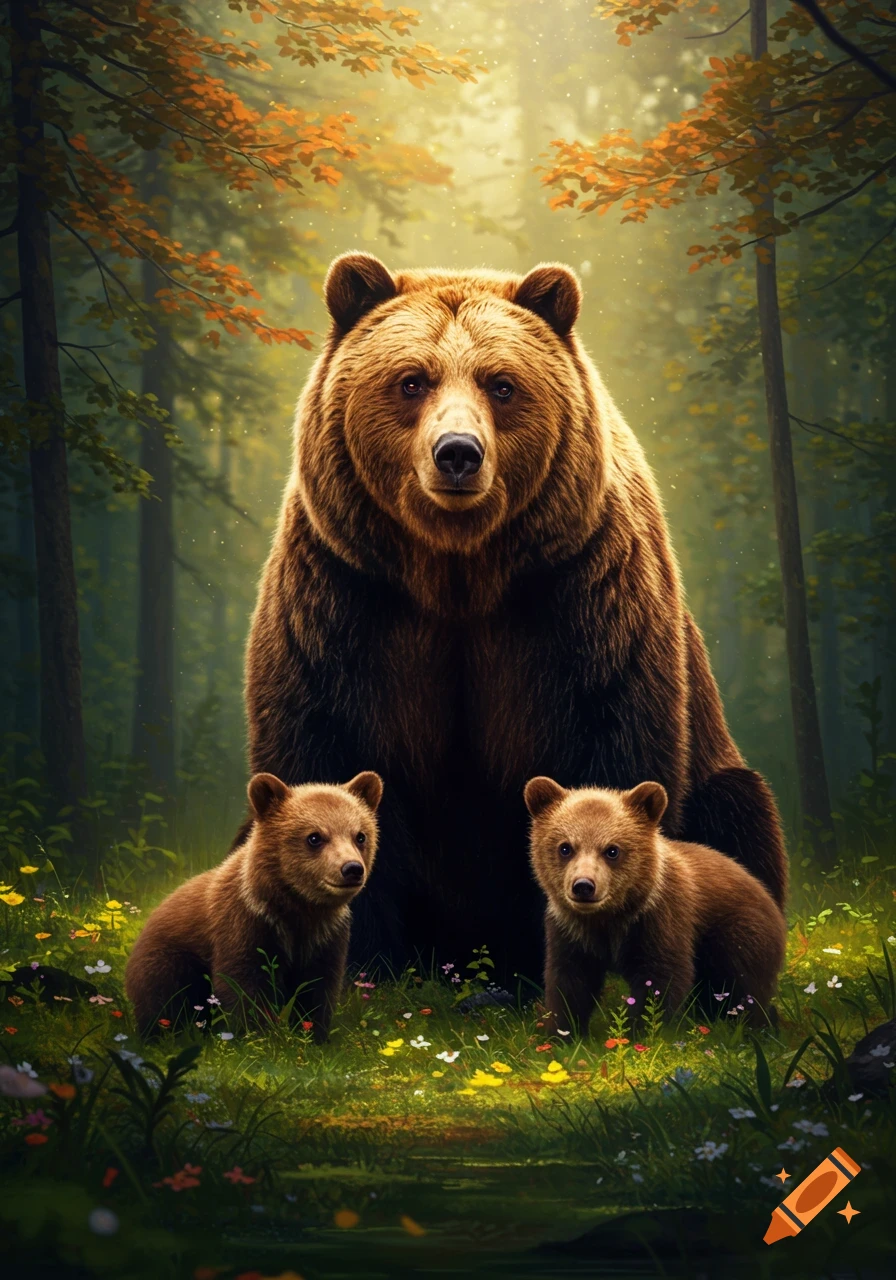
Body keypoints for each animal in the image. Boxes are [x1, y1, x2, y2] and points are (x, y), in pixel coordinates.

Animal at [125, 771, 382, 1041]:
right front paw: (255, 1035)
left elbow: (317, 987)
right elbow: (243, 985)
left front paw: (313, 1034)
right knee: (165, 999)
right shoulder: (245, 925)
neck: (296, 907)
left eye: (360, 835)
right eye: (314, 837)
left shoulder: (326, 935)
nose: (352, 868)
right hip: (166, 960)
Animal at [240, 251, 787, 982]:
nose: (457, 452)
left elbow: (608, 751)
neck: (459, 572)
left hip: (717, 772)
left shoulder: (580, 600)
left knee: (740, 815)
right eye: (411, 380)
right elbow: (327, 749)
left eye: (501, 384)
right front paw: (359, 960)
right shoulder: (345, 600)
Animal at [524, 775, 787, 1036]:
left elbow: (659, 980)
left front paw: (639, 1033)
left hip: (738, 935)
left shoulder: (659, 922)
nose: (583, 886)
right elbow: (569, 983)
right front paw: (562, 1033)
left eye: (612, 850)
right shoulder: (570, 930)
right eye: (565, 847)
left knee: (743, 987)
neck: (611, 917)